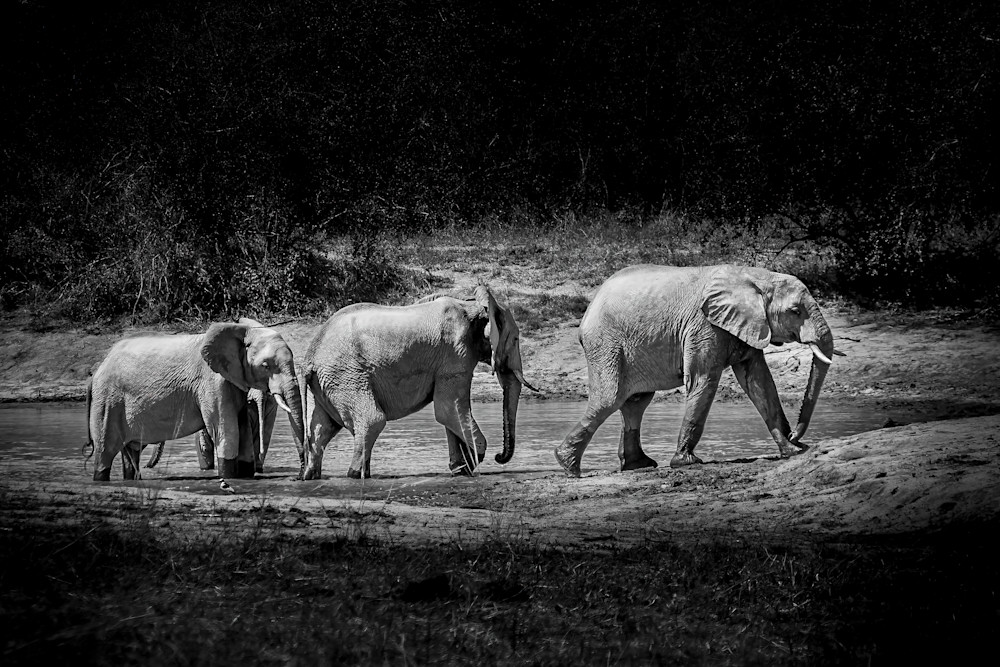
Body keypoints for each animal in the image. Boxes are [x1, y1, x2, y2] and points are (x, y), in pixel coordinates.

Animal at [86, 319, 303, 481]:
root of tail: (98, 369)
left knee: (130, 453)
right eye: (266, 365)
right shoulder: (211, 381)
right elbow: (227, 430)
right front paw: (230, 477)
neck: (243, 330)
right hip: (107, 401)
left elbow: (243, 429)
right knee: (104, 452)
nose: (298, 477)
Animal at [299, 284, 534, 479]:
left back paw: (311, 476)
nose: (499, 456)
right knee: (372, 420)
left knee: (323, 427)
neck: (473, 305)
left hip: (327, 382)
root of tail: (310, 357)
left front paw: (461, 469)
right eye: (515, 339)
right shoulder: (455, 354)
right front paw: (472, 462)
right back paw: (355, 474)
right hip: (346, 374)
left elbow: (450, 413)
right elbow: (448, 410)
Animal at [554, 264, 836, 476]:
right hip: (605, 343)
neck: (755, 276)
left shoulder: (748, 326)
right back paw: (567, 465)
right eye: (795, 311)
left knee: (635, 402)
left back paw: (638, 465)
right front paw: (686, 463)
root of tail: (590, 306)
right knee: (610, 399)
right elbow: (703, 381)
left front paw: (793, 451)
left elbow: (759, 381)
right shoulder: (704, 326)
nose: (795, 434)